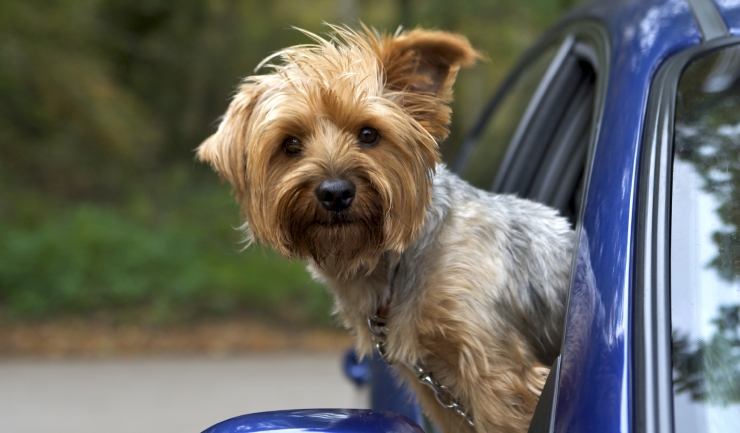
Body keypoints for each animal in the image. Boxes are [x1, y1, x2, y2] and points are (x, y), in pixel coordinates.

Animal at [199, 25, 576, 430]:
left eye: (368, 134)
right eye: (291, 144)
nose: (335, 192)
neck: (395, 263)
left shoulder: (499, 377)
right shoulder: (439, 391)